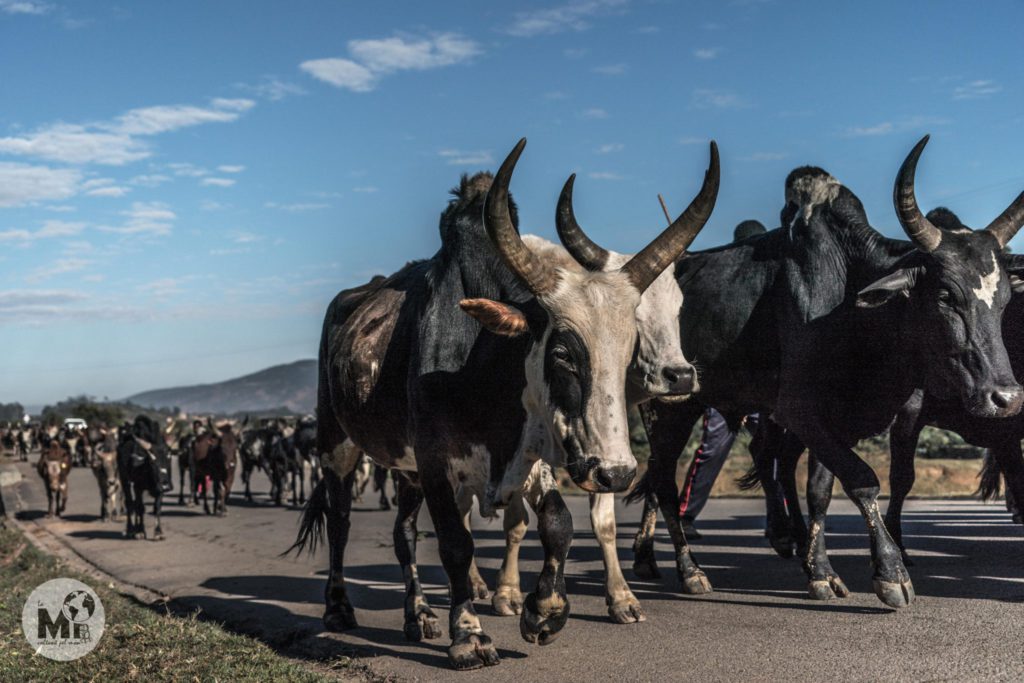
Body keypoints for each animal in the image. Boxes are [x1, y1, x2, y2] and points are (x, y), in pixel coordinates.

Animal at [288, 139, 720, 667]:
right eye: (561, 353)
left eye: (628, 348)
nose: (616, 472)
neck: (480, 365)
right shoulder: (436, 459)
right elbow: (456, 543)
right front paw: (470, 634)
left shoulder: (526, 455)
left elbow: (557, 523)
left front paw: (544, 611)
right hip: (338, 445)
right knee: (341, 522)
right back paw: (338, 608)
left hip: (405, 470)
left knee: (404, 534)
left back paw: (419, 614)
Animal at [630, 137, 1024, 610]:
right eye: (946, 295)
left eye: (1005, 301)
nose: (1005, 398)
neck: (851, 305)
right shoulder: (802, 412)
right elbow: (864, 481)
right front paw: (891, 572)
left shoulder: (840, 422)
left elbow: (821, 491)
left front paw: (820, 572)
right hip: (668, 410)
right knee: (663, 481)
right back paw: (688, 570)